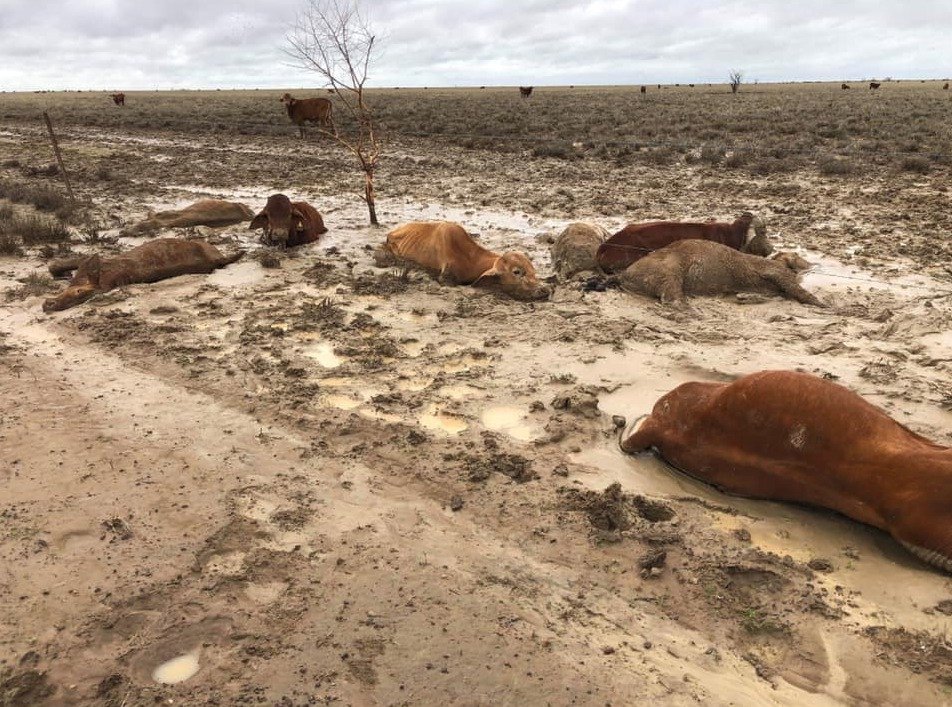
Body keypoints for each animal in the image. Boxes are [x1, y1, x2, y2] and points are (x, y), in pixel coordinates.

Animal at [376, 220, 548, 300]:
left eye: (533, 270)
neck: (470, 258)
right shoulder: (445, 276)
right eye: (517, 272)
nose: (545, 290)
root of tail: (391, 233)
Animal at [616, 239, 820, 306]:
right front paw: (825, 306)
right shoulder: (777, 271)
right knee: (672, 294)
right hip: (666, 270)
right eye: (796, 255)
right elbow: (796, 289)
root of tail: (623, 276)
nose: (814, 265)